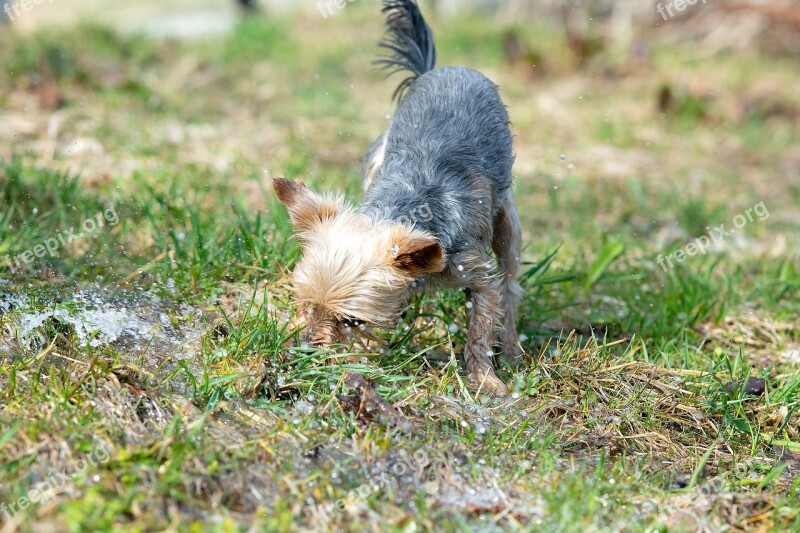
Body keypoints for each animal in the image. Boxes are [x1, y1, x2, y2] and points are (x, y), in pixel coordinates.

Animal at [276, 0, 524, 390]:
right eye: (304, 302)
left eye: (352, 321)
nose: (307, 351)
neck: (403, 208)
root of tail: (437, 69)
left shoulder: (478, 274)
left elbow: (480, 329)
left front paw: (485, 380)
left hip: (507, 219)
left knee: (511, 283)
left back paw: (512, 350)